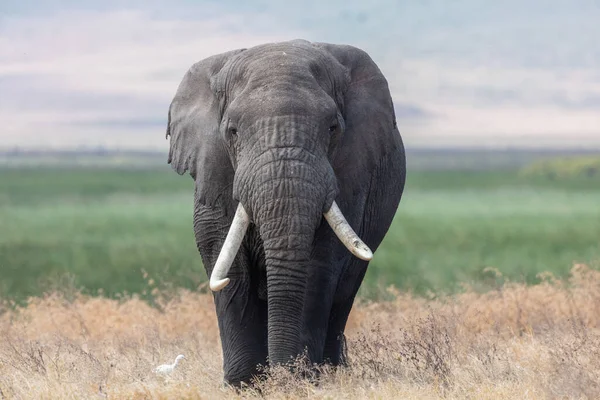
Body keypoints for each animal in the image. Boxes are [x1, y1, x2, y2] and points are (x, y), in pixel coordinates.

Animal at [166, 39, 406, 386]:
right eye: (232, 131)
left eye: (332, 128)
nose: (283, 373)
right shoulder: (214, 171)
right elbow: (227, 262)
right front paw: (245, 384)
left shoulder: (349, 176)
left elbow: (318, 265)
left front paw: (299, 379)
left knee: (345, 288)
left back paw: (331, 371)